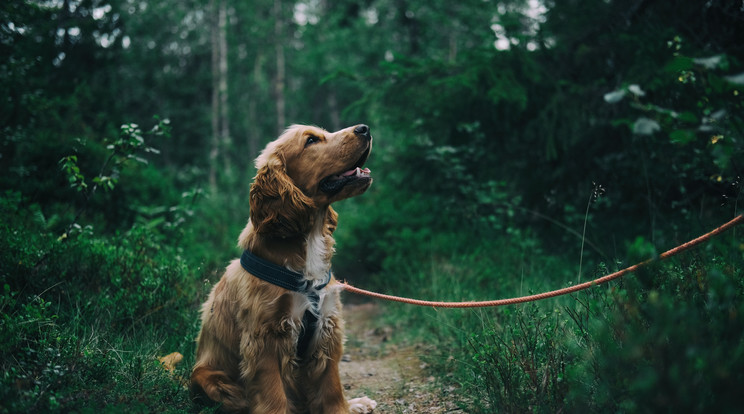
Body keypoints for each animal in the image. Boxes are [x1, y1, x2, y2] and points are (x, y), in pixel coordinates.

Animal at [190, 125, 378, 414]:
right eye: (311, 140)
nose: (364, 128)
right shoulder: (265, 337)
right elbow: (273, 396)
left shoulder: (327, 326)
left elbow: (332, 389)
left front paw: (344, 407)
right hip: (209, 379)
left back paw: (357, 403)